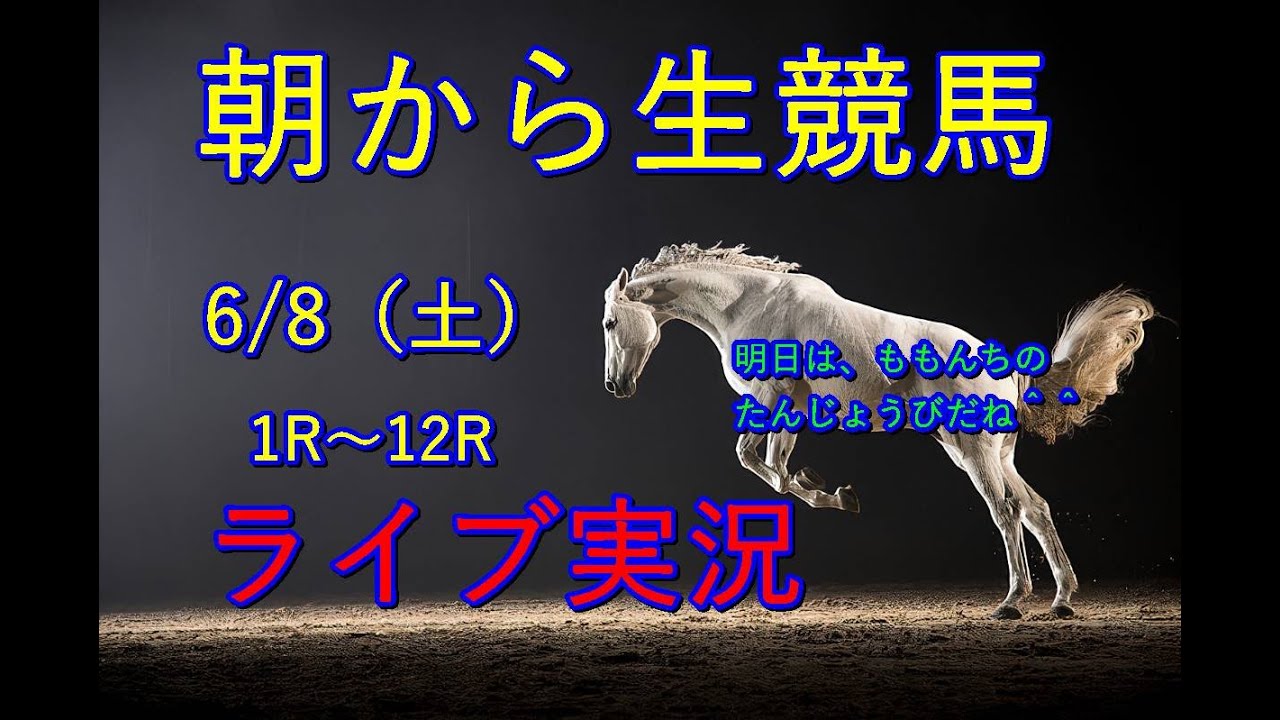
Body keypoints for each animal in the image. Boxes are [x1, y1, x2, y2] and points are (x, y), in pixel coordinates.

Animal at [600, 243, 1155, 620]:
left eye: (609, 323)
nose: (614, 385)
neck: (751, 303)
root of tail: (1006, 367)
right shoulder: (790, 406)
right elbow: (774, 468)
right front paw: (832, 492)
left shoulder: (770, 394)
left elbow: (754, 460)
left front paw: (829, 491)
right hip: (986, 452)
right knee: (1035, 508)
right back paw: (1062, 599)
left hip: (975, 452)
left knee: (1006, 510)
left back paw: (1013, 602)